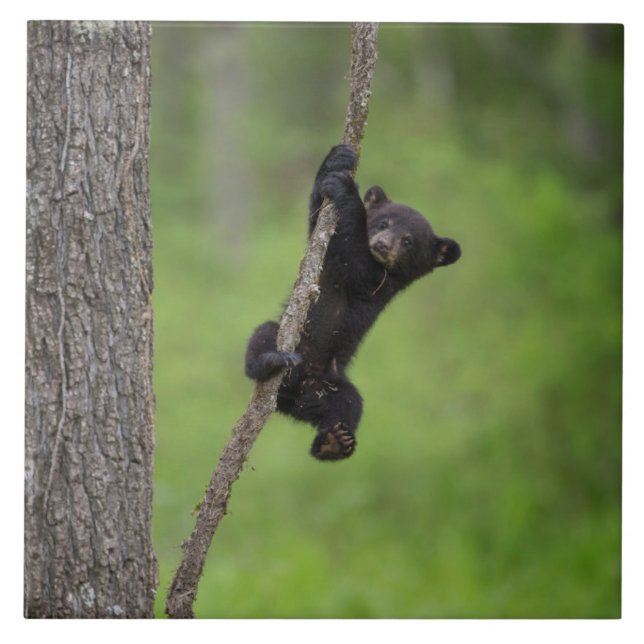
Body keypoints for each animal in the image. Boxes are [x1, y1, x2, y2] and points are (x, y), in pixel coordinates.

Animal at [245, 144, 461, 461]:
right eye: (383, 223)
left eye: (408, 241)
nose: (382, 244)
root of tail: (293, 398)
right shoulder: (326, 253)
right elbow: (318, 219)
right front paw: (337, 160)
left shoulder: (379, 283)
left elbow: (356, 262)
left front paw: (348, 190)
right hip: (289, 342)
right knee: (263, 336)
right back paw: (271, 360)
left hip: (332, 381)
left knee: (350, 404)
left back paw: (334, 442)